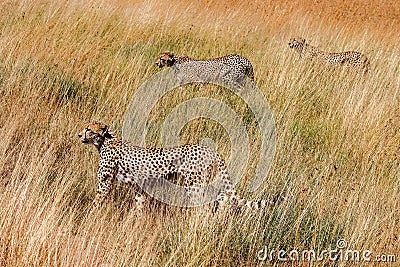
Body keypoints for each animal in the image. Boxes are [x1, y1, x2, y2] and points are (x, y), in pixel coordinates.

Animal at [78, 122, 272, 214]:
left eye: (88, 129)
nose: (79, 134)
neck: (104, 141)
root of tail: (208, 148)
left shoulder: (105, 184)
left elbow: (96, 202)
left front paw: (89, 215)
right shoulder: (139, 187)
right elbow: (139, 205)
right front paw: (136, 222)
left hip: (193, 185)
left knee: (205, 206)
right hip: (205, 182)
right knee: (223, 197)